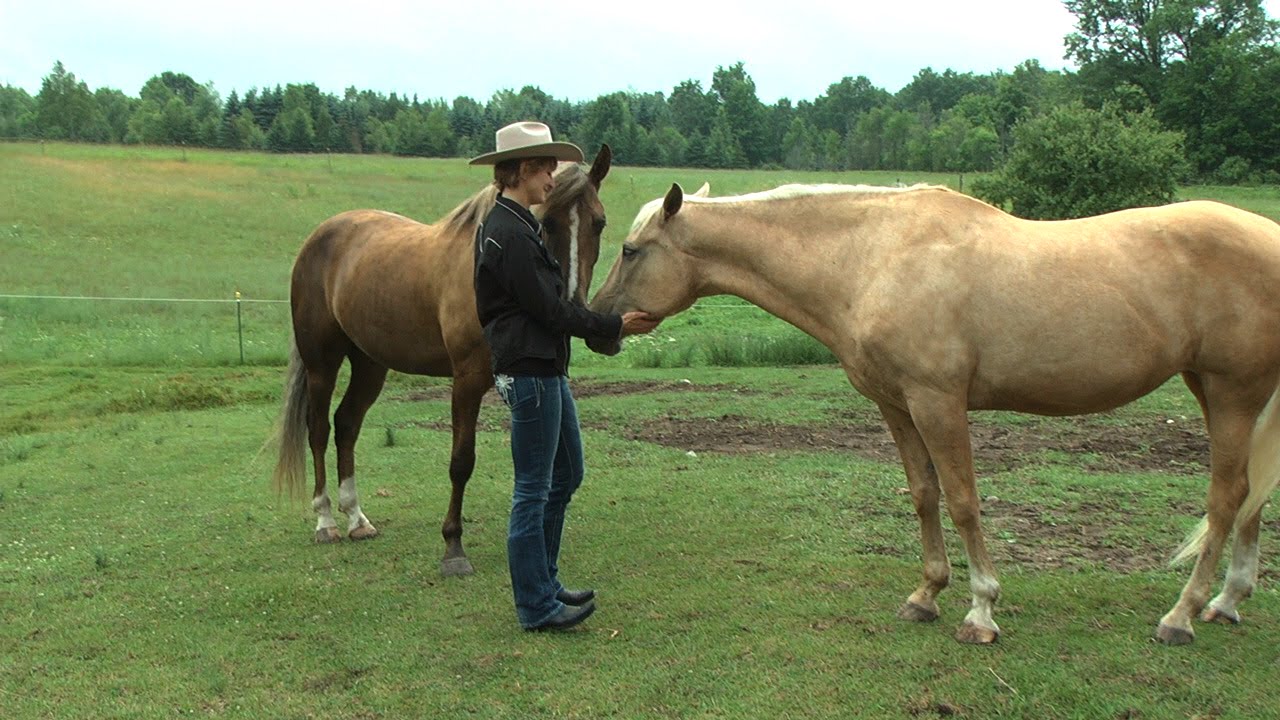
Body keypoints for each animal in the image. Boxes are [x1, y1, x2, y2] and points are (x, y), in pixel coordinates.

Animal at [272, 146, 612, 576]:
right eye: (546, 222)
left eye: (599, 223)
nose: (571, 307)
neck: (480, 262)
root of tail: (320, 236)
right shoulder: (466, 380)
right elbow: (461, 462)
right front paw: (453, 546)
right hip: (322, 364)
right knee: (317, 430)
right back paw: (325, 520)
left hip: (370, 364)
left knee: (346, 425)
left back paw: (357, 519)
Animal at [586, 181, 1280, 645]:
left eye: (630, 249)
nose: (597, 326)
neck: (874, 257)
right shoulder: (897, 404)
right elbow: (924, 493)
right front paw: (926, 595)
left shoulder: (938, 401)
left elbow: (964, 499)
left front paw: (981, 610)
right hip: (1217, 390)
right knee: (1252, 495)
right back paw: (1226, 602)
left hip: (1233, 392)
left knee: (1228, 497)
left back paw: (1181, 616)